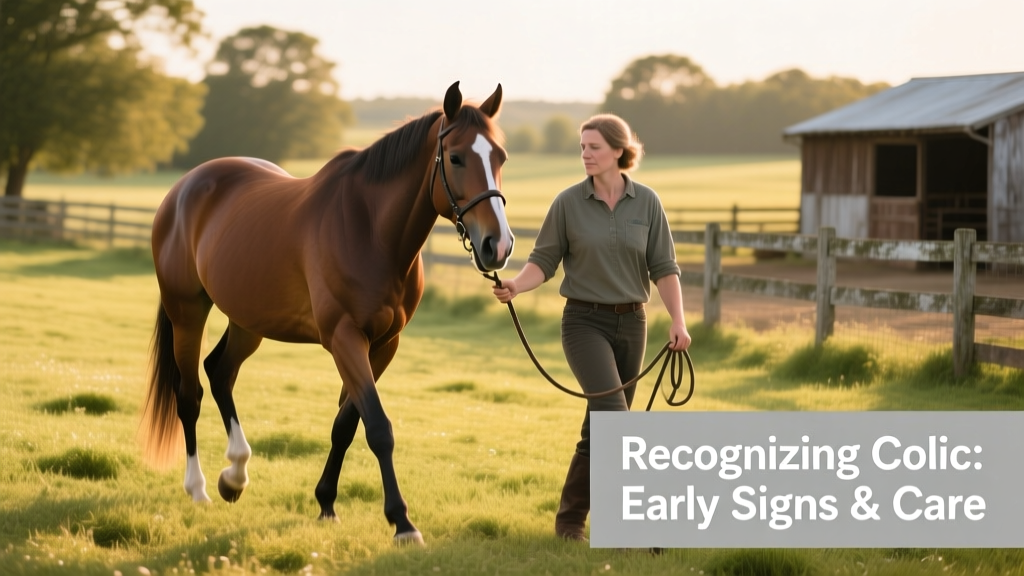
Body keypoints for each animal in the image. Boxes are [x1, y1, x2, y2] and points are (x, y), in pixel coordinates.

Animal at [140, 81, 512, 545]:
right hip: (187, 312)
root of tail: (183, 188)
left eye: (500, 157)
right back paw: (199, 488)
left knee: (220, 372)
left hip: (248, 321)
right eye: (457, 157)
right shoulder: (344, 338)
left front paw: (326, 503)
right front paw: (402, 522)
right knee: (189, 395)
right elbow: (378, 427)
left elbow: (346, 425)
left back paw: (235, 476)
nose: (498, 245)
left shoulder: (383, 345)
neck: (370, 231)